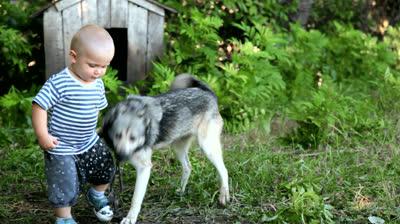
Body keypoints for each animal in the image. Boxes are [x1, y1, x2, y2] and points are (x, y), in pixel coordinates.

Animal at [101, 74, 230, 224]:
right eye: (118, 135)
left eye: (133, 138)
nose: (120, 156)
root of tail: (208, 93)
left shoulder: (144, 169)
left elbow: (135, 199)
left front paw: (130, 218)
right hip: (177, 147)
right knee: (188, 167)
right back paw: (181, 191)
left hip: (207, 146)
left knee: (224, 170)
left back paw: (224, 195)